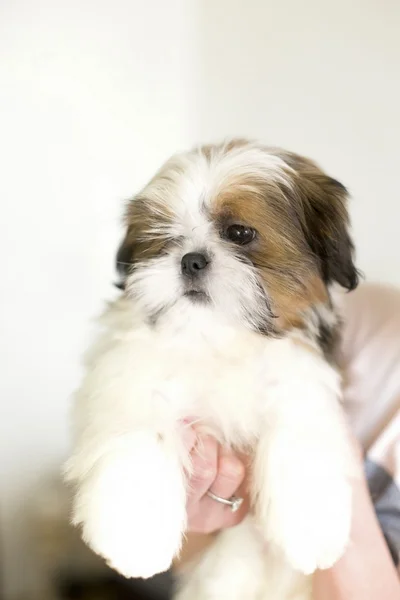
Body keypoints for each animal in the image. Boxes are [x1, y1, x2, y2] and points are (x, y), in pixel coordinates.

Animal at [65, 139, 360, 600]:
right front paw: (134, 534)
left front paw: (310, 530)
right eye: (165, 237)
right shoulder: (129, 372)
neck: (218, 337)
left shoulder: (301, 375)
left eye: (239, 233)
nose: (191, 260)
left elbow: (300, 430)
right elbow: (138, 428)